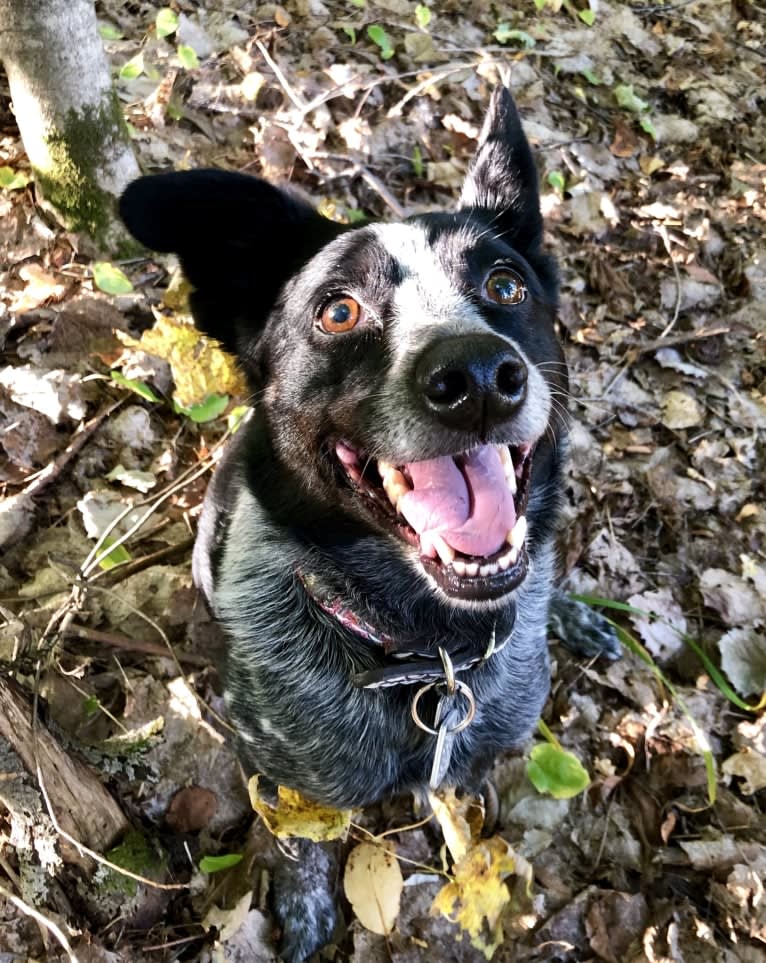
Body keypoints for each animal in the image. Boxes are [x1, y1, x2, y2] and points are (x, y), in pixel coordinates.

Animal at [121, 88, 616, 956]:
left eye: (506, 286)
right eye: (339, 310)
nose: (476, 374)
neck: (426, 653)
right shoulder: (282, 770)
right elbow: (301, 844)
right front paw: (307, 911)